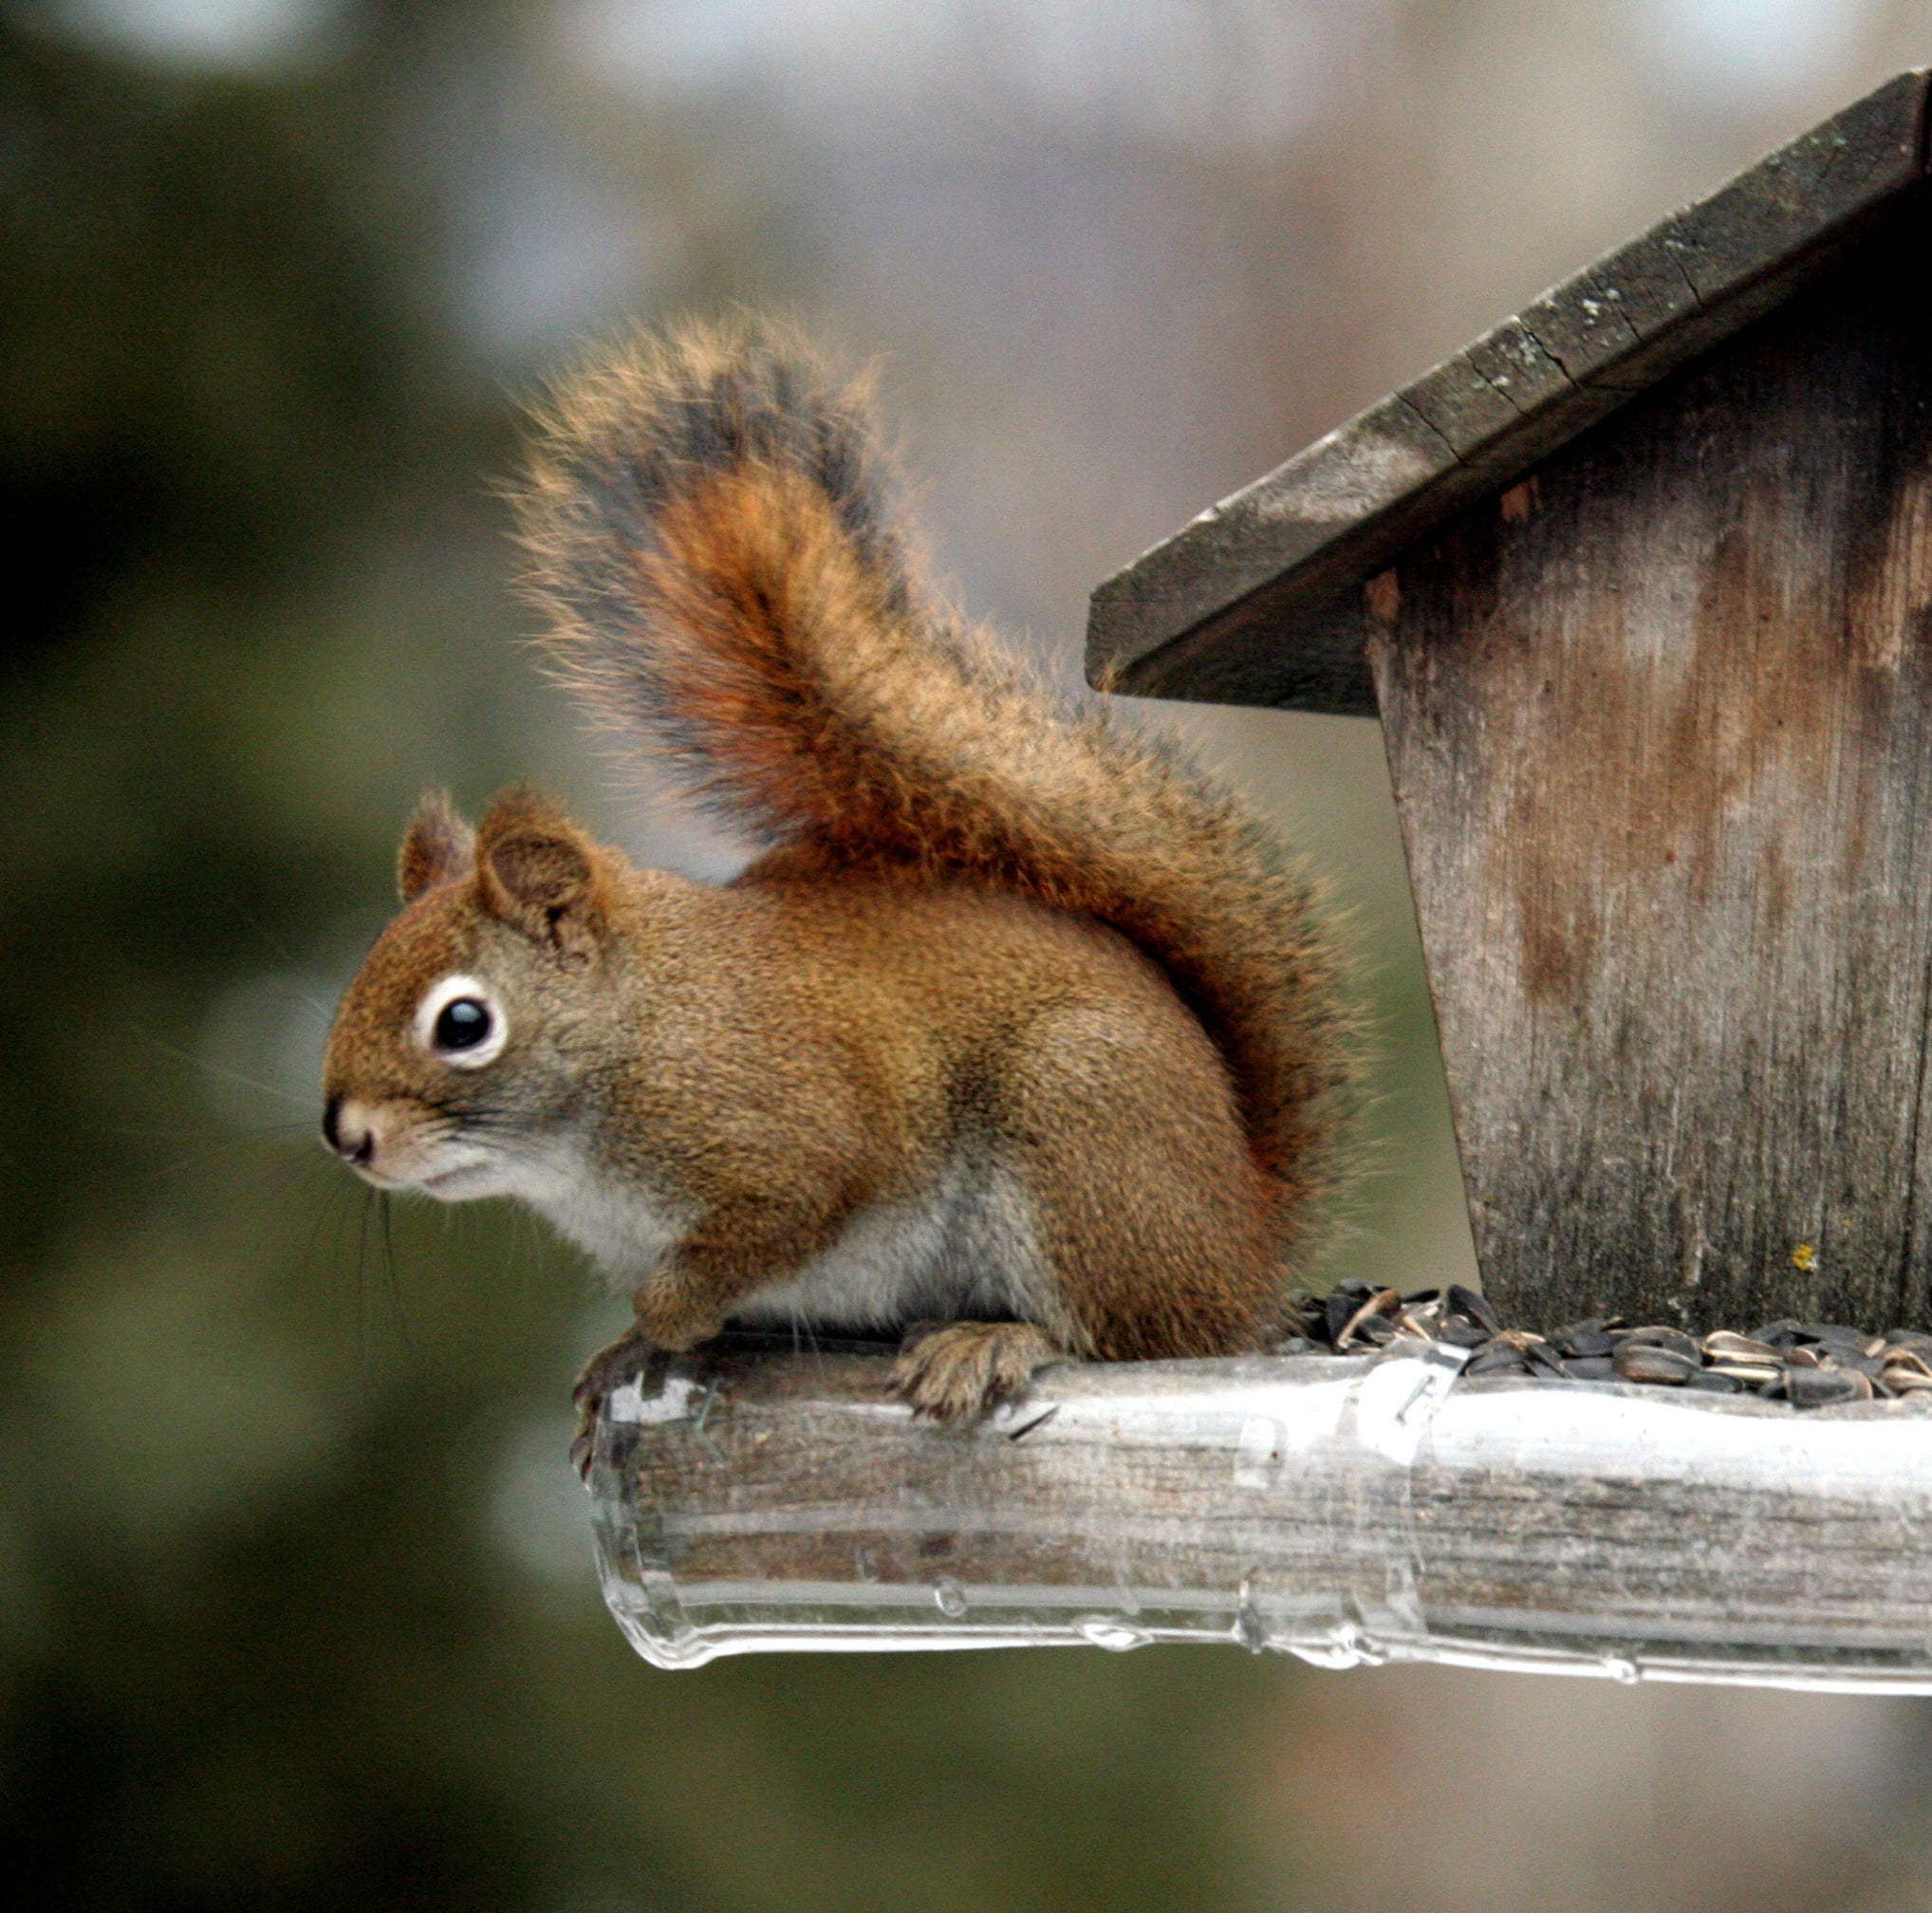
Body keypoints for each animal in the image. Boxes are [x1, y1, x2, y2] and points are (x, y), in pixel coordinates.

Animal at [319, 317, 1357, 1463]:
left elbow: (772, 1222)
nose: (346, 1138)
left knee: (1125, 1332)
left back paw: (992, 1339)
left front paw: (664, 1314)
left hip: (1079, 1133)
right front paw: (621, 1355)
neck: (635, 1040)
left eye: (463, 1023)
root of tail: (1244, 1242)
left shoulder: (799, 1134)